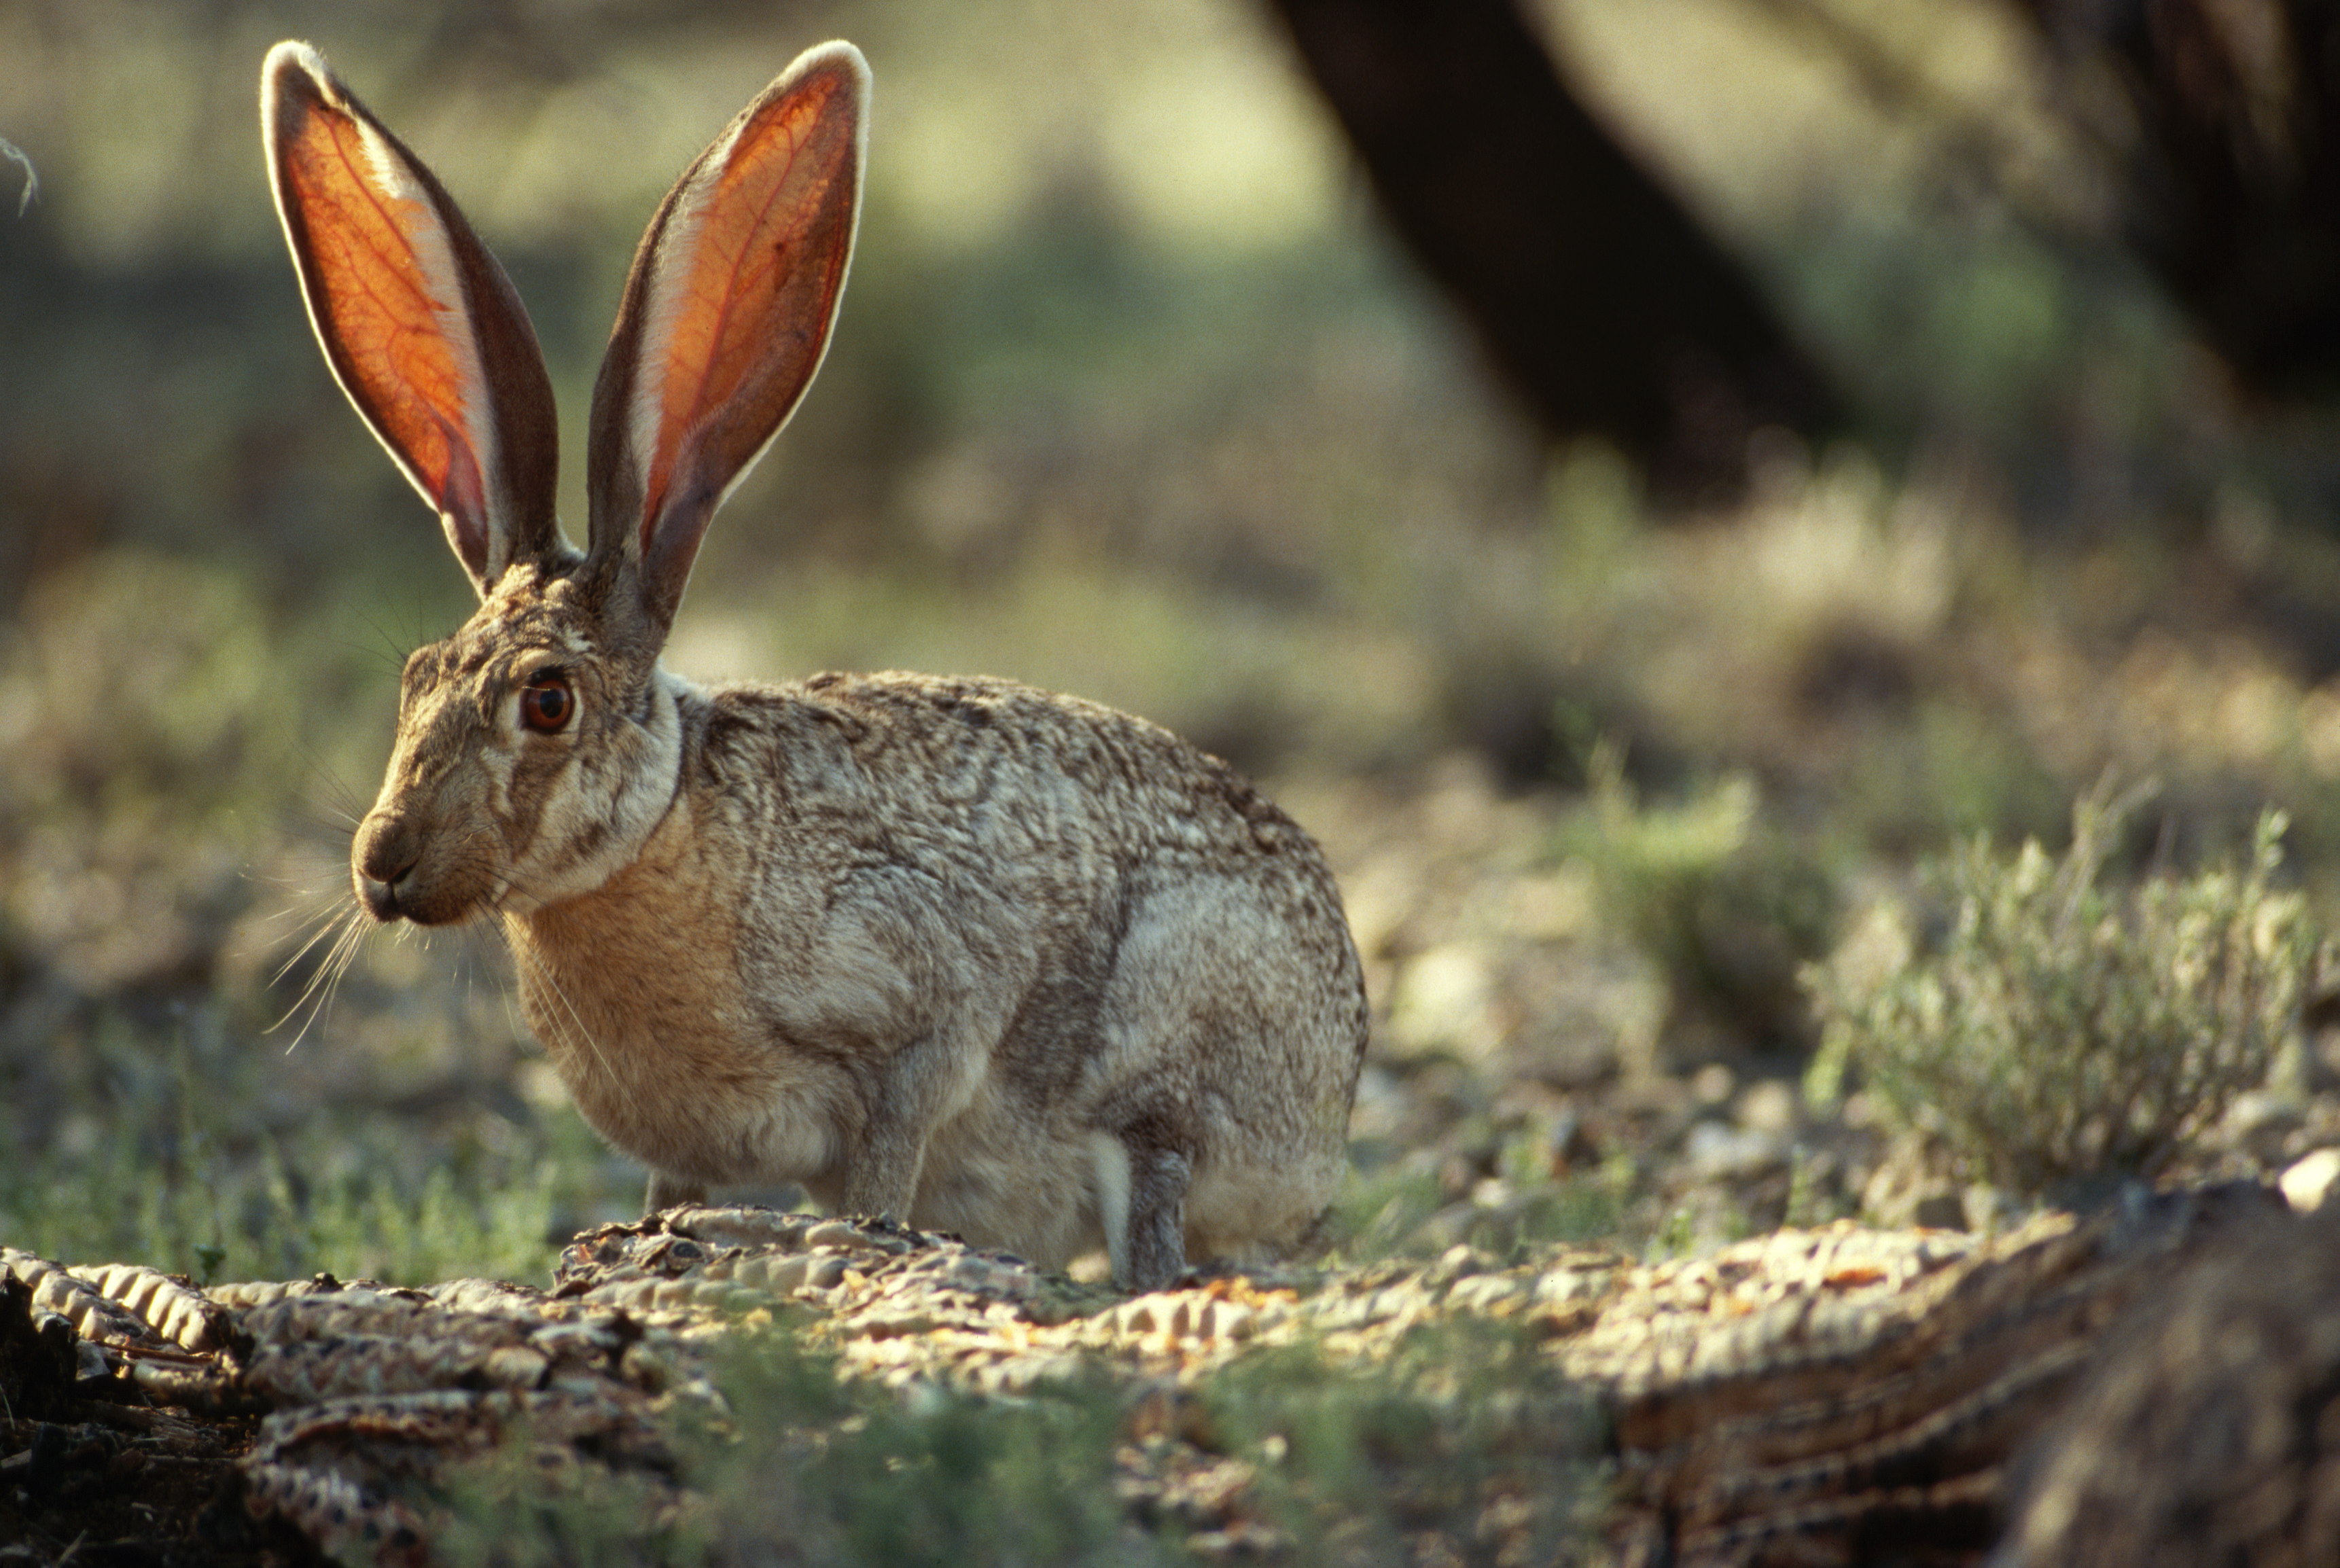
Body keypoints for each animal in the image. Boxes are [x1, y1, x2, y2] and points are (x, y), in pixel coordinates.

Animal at [261, 39, 1366, 1291]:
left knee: (1158, 1209)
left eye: (546, 700)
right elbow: (669, 1198)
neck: (666, 832)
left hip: (1178, 1040)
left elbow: (888, 1164)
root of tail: (1332, 1123)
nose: (385, 866)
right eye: (415, 677)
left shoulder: (920, 1002)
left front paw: (845, 1241)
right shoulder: (680, 1140)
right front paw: (636, 1247)